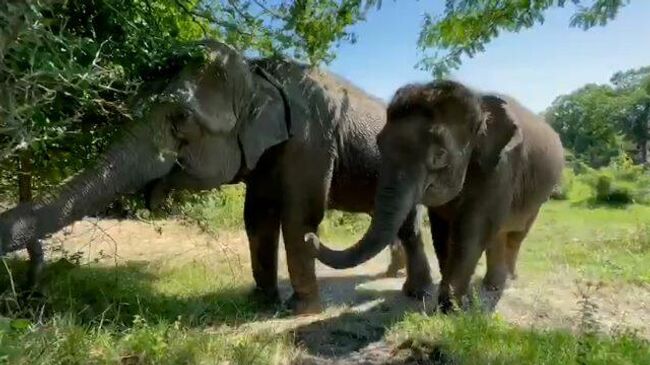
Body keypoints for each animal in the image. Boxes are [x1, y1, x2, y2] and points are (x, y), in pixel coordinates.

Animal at [0, 39, 430, 312]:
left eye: (181, 119)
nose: (28, 297)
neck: (260, 74)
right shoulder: (265, 154)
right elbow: (257, 218)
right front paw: (260, 303)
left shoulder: (310, 141)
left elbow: (298, 218)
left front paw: (302, 309)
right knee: (402, 224)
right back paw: (408, 287)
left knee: (409, 225)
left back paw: (416, 294)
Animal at [304, 79, 560, 310]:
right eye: (378, 143)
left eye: (439, 155)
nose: (310, 236)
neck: (477, 102)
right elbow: (442, 229)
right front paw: (447, 300)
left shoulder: (502, 169)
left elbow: (473, 226)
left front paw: (452, 308)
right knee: (499, 234)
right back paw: (493, 286)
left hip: (538, 197)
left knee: (516, 234)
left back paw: (506, 281)